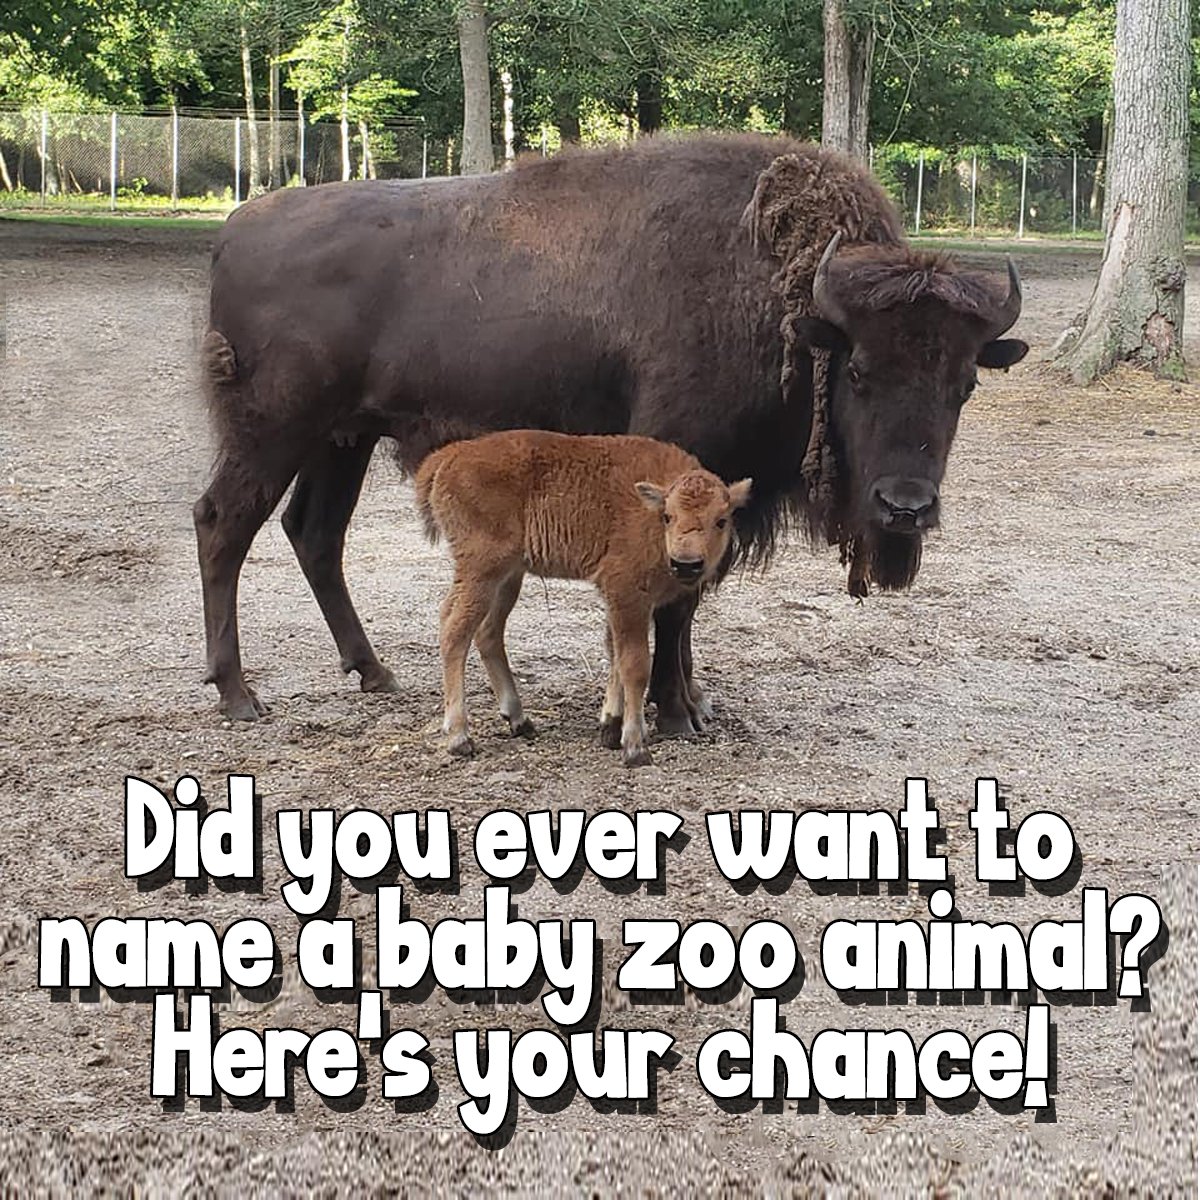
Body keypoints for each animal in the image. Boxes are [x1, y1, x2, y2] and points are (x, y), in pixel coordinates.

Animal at [194, 132, 1027, 726]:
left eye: (965, 385)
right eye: (860, 372)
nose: (905, 507)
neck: (791, 312)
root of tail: (235, 231)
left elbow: (690, 598)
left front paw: (691, 701)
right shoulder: (687, 476)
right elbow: (678, 597)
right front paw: (673, 711)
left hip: (344, 438)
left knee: (314, 534)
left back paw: (373, 672)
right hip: (273, 430)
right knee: (223, 524)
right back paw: (238, 694)